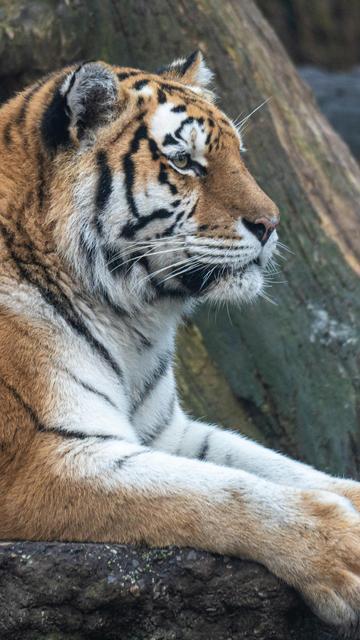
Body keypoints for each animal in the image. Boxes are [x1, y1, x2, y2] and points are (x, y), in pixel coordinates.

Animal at [0, 50, 360, 632]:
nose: (272, 224)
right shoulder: (41, 459)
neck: (130, 322)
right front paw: (340, 546)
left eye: (239, 154)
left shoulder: (168, 433)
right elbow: (215, 491)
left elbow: (278, 467)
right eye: (185, 162)